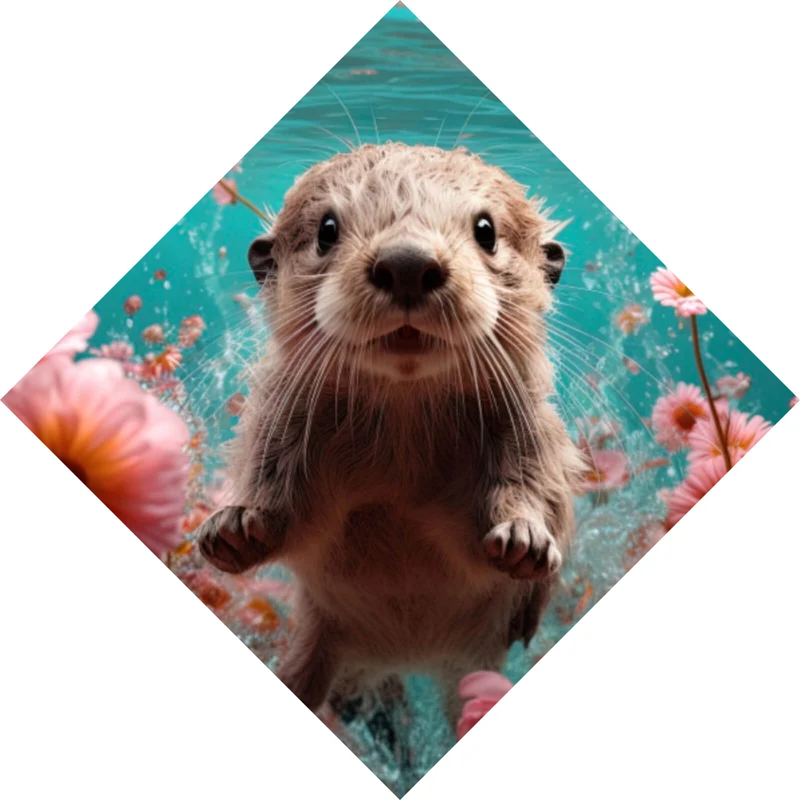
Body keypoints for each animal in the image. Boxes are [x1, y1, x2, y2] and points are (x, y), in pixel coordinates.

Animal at [195, 142, 584, 726]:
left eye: (486, 230)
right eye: (327, 229)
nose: (407, 263)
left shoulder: (533, 431)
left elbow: (538, 494)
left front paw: (524, 537)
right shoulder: (278, 422)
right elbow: (283, 506)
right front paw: (236, 525)